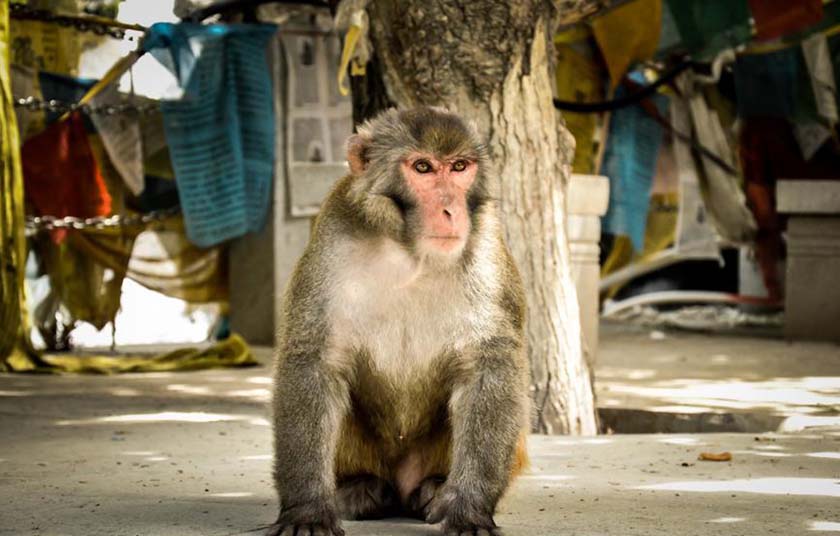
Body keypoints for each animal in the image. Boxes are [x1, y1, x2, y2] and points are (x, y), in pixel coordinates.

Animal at [270, 105, 528, 536]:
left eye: (459, 167)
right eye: (423, 167)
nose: (451, 210)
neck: (410, 252)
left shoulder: (486, 246)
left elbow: (489, 366)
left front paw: (470, 510)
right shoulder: (333, 237)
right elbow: (315, 361)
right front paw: (306, 510)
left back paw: (436, 489)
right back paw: (359, 488)